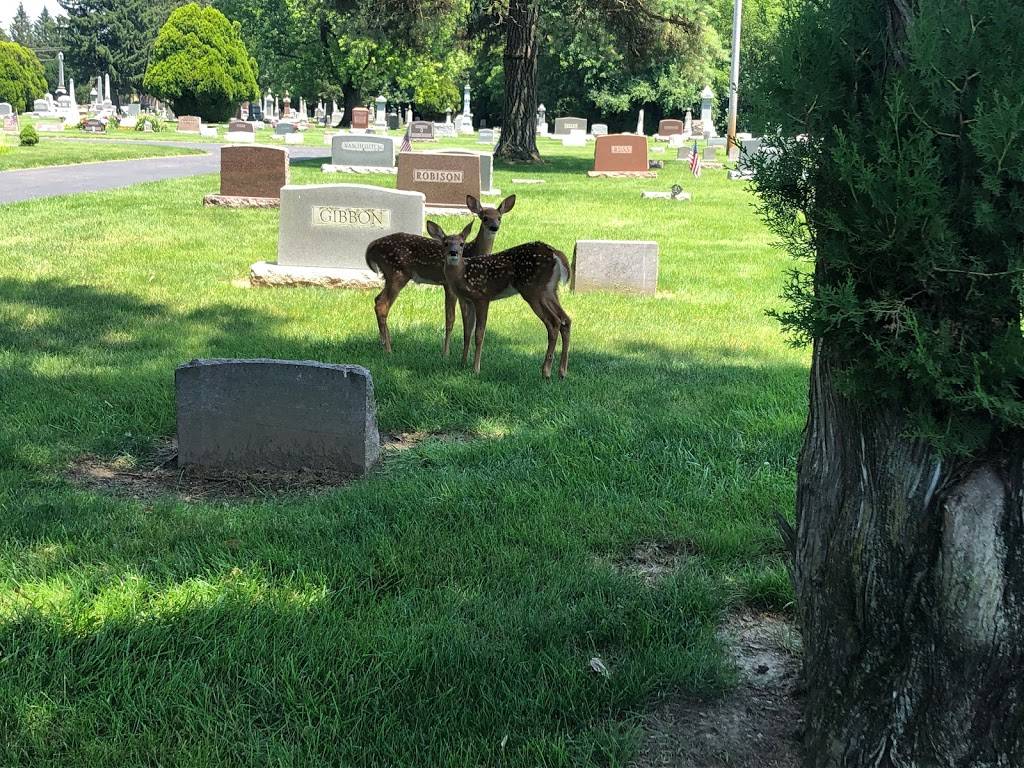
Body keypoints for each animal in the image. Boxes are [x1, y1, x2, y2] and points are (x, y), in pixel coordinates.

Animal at [364, 195, 516, 358]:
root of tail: (371, 248)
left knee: (377, 299)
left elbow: (466, 321)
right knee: (382, 305)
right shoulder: (449, 285)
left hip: (389, 275)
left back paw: (385, 342)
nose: (494, 227)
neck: (472, 252)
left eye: (499, 217)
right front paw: (446, 353)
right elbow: (451, 319)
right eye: (485, 217)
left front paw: (465, 353)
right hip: (397, 273)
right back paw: (388, 349)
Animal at [421, 221, 573, 380]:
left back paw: (546, 371)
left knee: (554, 322)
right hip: (550, 291)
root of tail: (556, 253)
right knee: (565, 319)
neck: (463, 274)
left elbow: (479, 334)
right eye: (445, 243)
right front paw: (462, 363)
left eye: (462, 244)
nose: (453, 253)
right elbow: (467, 331)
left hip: (534, 290)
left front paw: (475, 369)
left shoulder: (482, 297)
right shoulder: (468, 300)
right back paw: (562, 372)